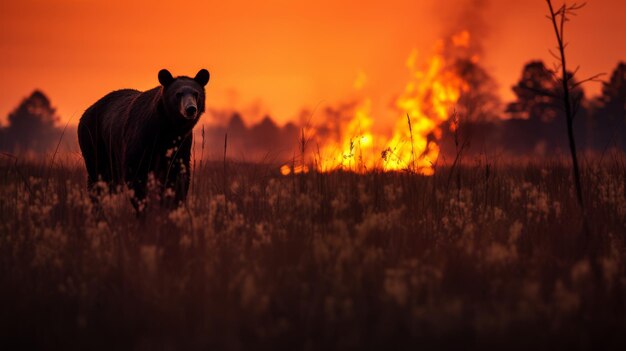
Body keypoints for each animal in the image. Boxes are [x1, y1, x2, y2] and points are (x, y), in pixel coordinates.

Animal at [77, 68, 210, 212]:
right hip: (95, 140)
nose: (190, 109)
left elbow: (179, 177)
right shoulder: (142, 140)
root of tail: (86, 112)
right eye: (178, 94)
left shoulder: (181, 145)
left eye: (196, 93)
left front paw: (173, 206)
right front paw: (143, 208)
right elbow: (136, 176)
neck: (168, 128)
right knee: (97, 178)